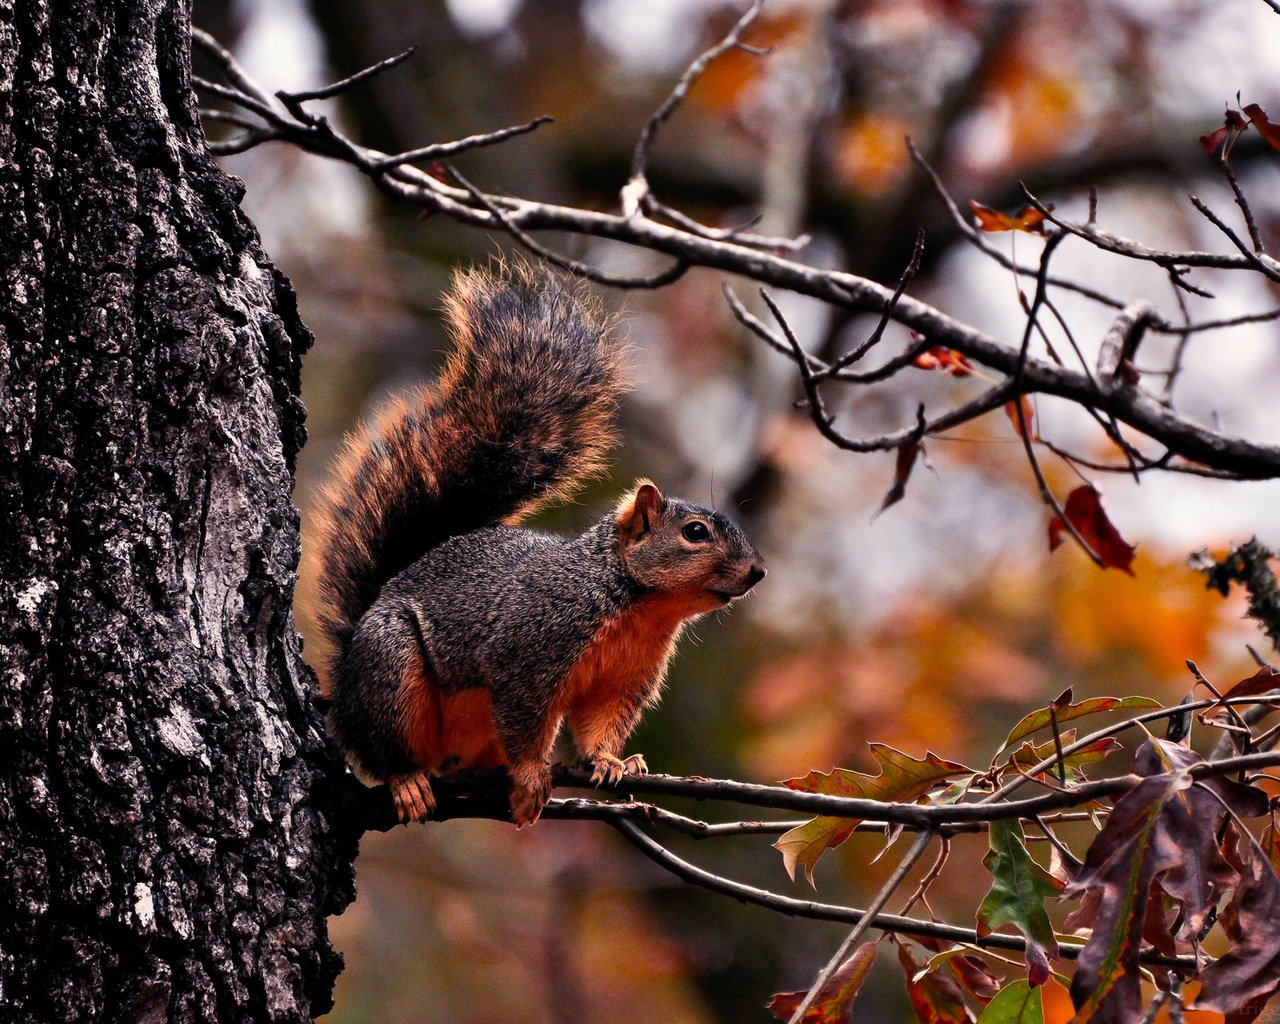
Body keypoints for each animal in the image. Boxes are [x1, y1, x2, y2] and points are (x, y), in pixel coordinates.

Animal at [311, 259, 762, 829]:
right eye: (696, 533)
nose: (758, 570)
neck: (637, 606)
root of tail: (345, 671)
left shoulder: (624, 679)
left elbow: (600, 722)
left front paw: (612, 761)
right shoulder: (529, 651)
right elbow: (525, 719)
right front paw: (529, 776)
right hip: (389, 667)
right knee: (381, 746)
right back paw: (407, 780)